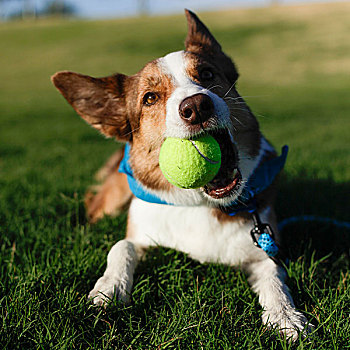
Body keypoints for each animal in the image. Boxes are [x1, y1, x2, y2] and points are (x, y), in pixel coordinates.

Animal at [52, 10, 312, 340]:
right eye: (150, 98)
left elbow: (274, 279)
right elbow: (121, 246)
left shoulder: (263, 248)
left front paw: (286, 316)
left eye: (207, 74)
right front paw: (110, 287)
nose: (197, 106)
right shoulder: (140, 234)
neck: (200, 203)